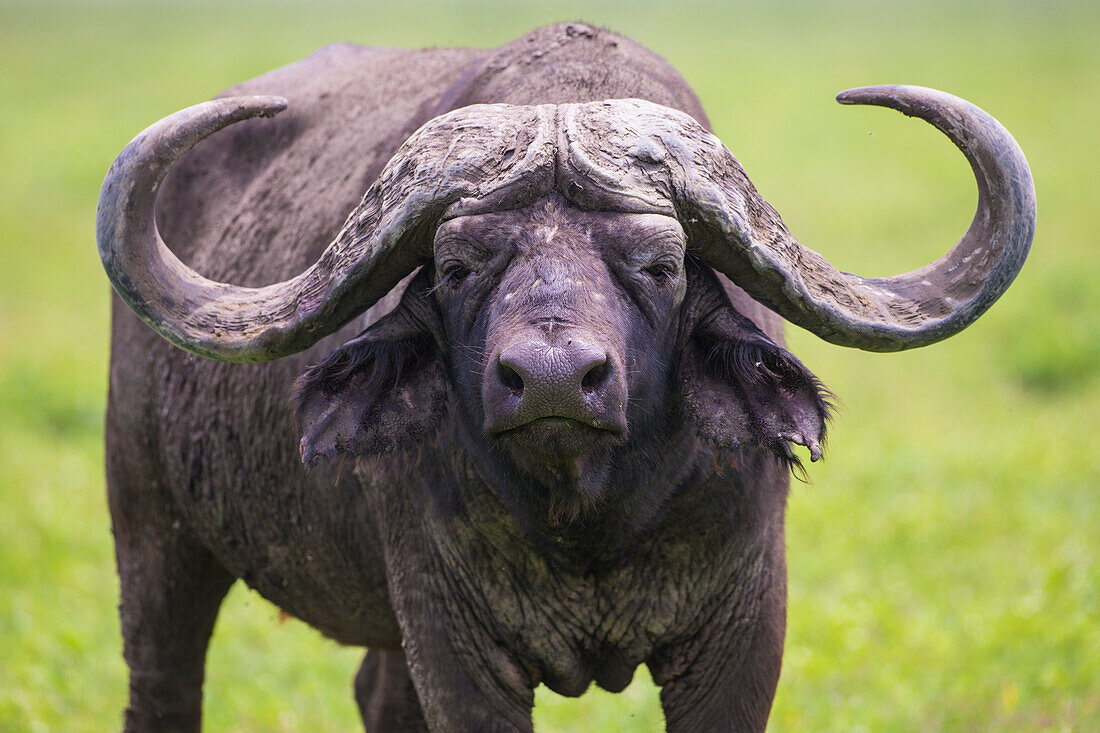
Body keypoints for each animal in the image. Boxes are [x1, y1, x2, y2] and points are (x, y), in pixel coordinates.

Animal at [96, 22, 1029, 730]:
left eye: (659, 264)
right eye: (459, 265)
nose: (551, 380)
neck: (591, 518)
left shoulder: (743, 633)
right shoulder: (452, 644)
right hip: (151, 530)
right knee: (164, 683)